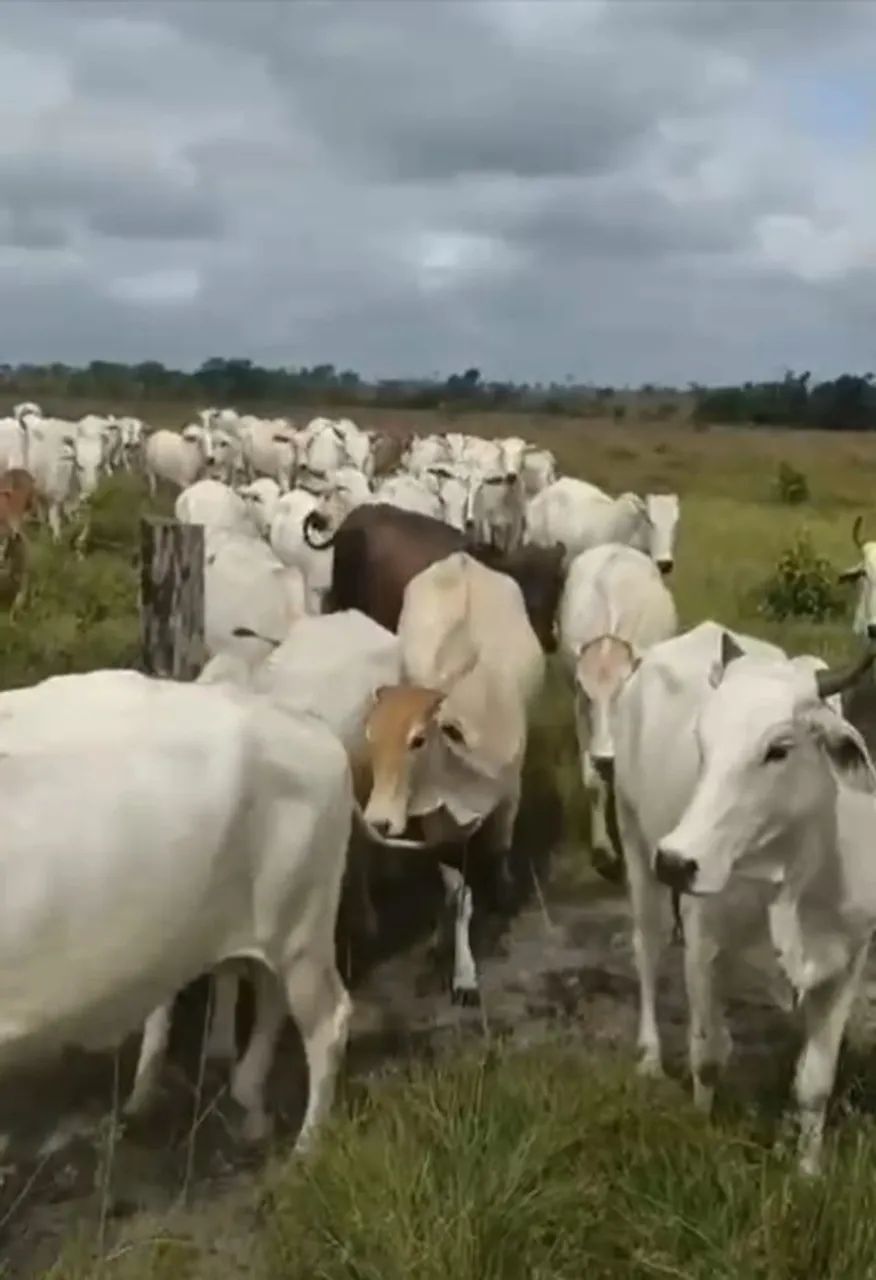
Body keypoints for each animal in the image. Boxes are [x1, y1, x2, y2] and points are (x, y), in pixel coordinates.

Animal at [0, 669, 353, 1149]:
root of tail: (309, 726)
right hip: (269, 928)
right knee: (270, 994)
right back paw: (249, 1106)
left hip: (302, 927)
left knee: (327, 1025)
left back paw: (305, 1149)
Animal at [357, 551, 546, 1004]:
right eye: (370, 735)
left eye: (418, 739)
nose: (378, 821)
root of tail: (461, 558)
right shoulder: (436, 823)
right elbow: (457, 895)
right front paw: (456, 964)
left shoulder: (508, 798)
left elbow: (498, 852)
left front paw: (503, 893)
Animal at [558, 544, 678, 879]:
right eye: (586, 694)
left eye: (624, 691)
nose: (605, 756)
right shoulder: (580, 710)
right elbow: (593, 784)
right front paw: (603, 848)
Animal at [611, 620, 876, 1175]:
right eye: (702, 743)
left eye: (778, 749)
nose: (677, 860)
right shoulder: (703, 942)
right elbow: (707, 1058)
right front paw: (701, 1132)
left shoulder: (848, 962)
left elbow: (815, 1083)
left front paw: (807, 1171)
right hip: (633, 838)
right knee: (647, 949)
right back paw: (649, 1058)